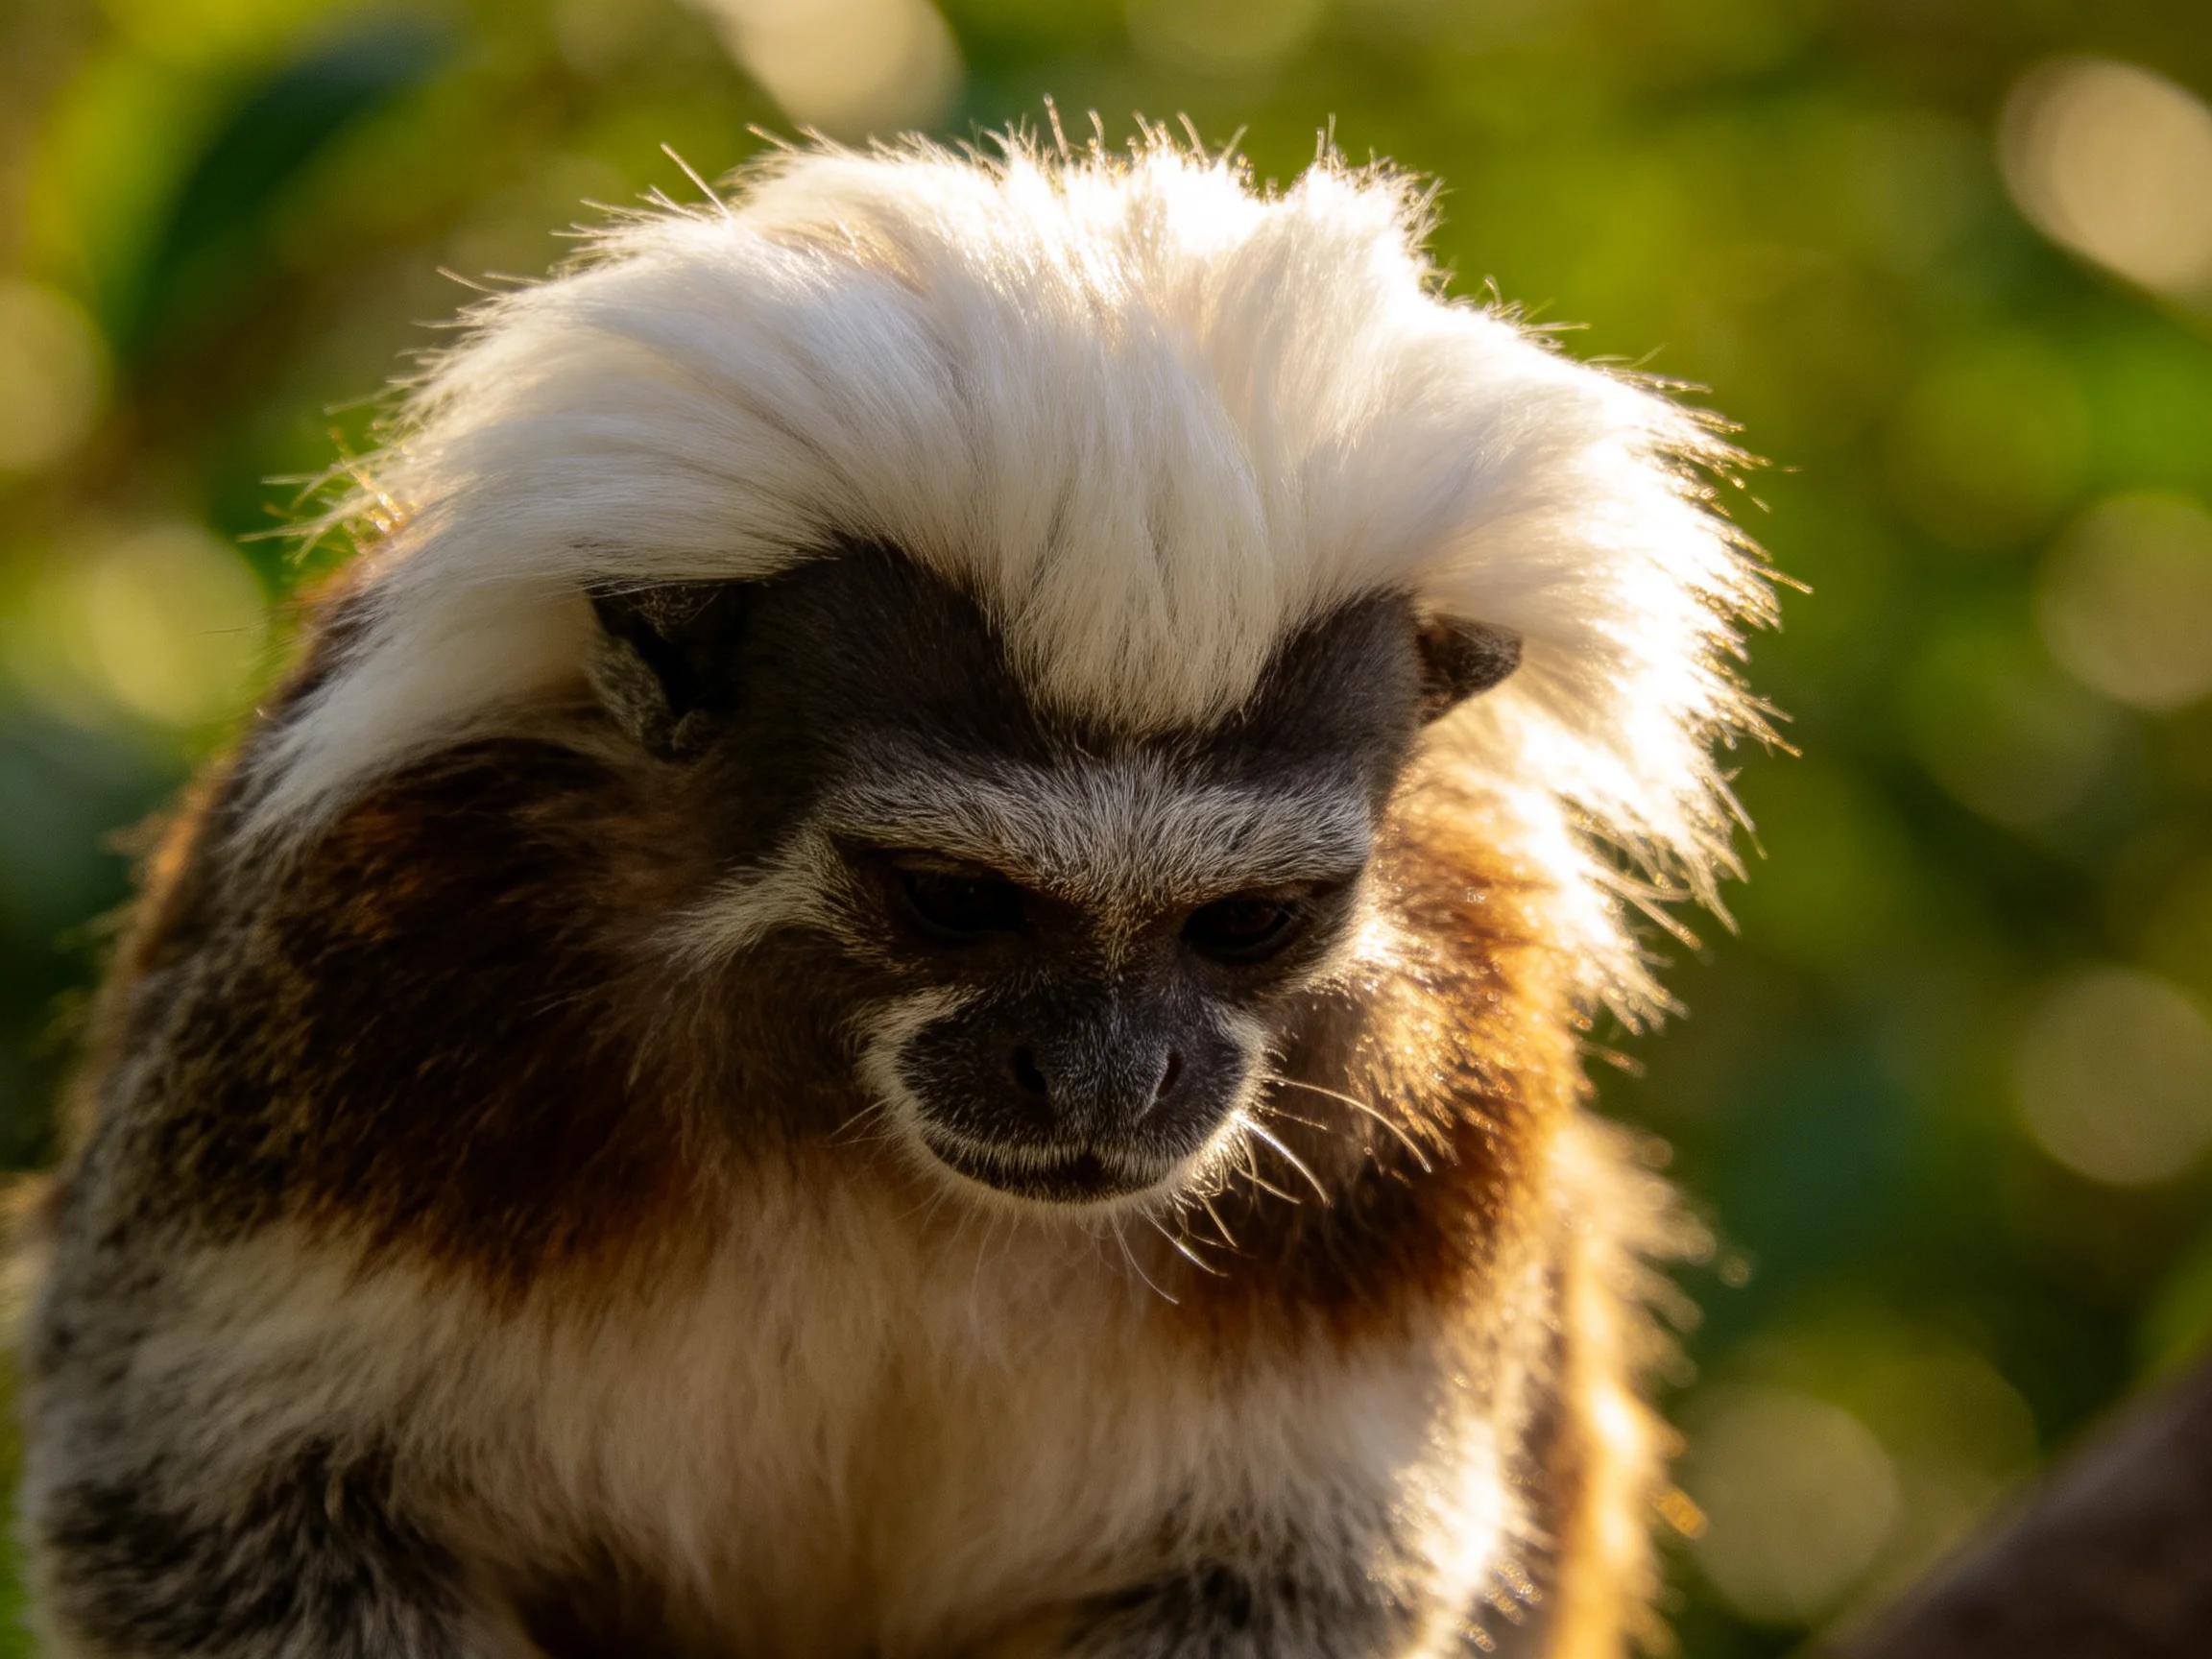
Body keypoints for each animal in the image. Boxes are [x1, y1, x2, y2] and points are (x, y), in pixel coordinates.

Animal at [15, 133, 1772, 1659]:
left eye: (1246, 924)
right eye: (948, 898)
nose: (1105, 1080)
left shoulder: (1431, 1121)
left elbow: (1303, 1567)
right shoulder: (382, 972)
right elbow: (207, 1504)